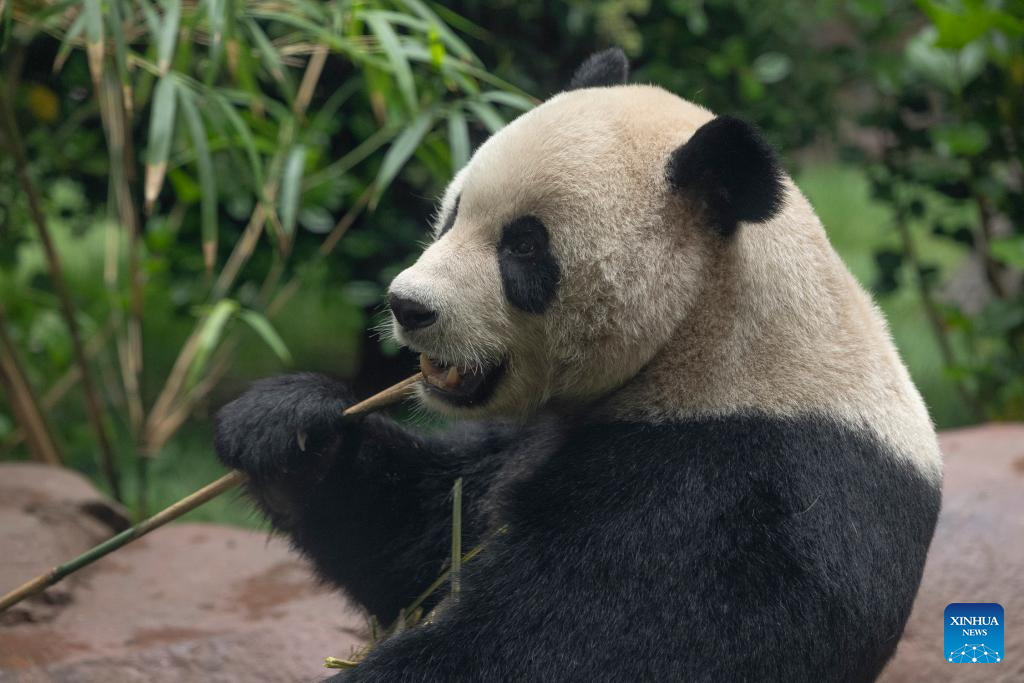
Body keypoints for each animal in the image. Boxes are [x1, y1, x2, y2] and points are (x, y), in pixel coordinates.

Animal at [214, 48, 942, 682]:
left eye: (524, 246)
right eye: (453, 213)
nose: (408, 305)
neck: (708, 336)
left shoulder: (732, 490)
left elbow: (555, 642)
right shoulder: (529, 439)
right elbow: (419, 533)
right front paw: (285, 426)